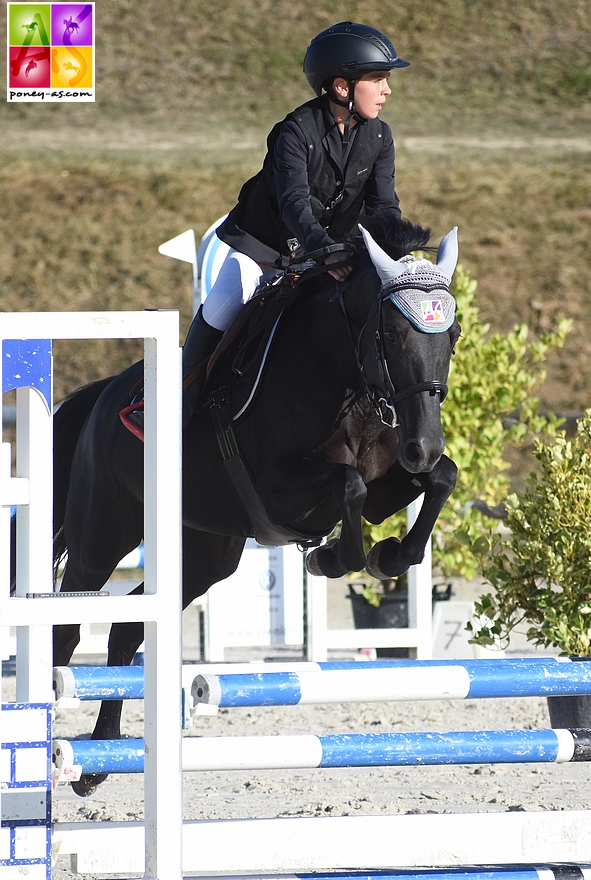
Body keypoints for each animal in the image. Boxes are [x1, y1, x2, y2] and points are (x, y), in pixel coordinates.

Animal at [48, 215, 460, 796]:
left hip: (204, 554)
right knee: (66, 628)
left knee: (128, 630)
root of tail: (103, 394)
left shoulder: (387, 485)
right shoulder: (280, 487)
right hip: (99, 538)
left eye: (452, 334)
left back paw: (98, 759)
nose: (422, 445)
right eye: (393, 335)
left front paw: (389, 556)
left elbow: (436, 480)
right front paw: (334, 558)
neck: (345, 378)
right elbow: (349, 484)